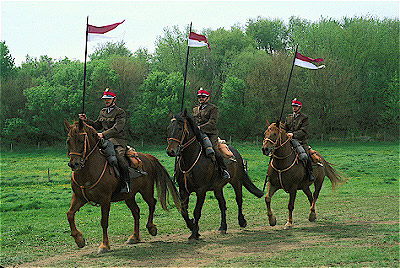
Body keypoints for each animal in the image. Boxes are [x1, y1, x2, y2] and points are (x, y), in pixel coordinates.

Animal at [63, 119, 181, 253]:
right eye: (68, 141)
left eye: (81, 141)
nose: (74, 164)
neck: (88, 172)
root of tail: (147, 157)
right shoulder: (79, 197)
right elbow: (70, 214)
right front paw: (79, 239)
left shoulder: (105, 200)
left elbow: (104, 221)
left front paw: (104, 245)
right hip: (129, 196)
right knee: (136, 212)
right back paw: (134, 237)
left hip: (146, 190)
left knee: (152, 203)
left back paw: (151, 228)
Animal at [164, 110, 264, 242]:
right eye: (169, 128)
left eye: (180, 128)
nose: (171, 151)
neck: (190, 159)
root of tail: (236, 153)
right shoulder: (183, 190)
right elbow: (184, 211)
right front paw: (193, 227)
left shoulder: (201, 191)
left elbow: (197, 211)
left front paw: (194, 234)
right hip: (218, 188)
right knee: (222, 204)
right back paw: (223, 227)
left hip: (236, 182)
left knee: (239, 200)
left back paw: (242, 221)